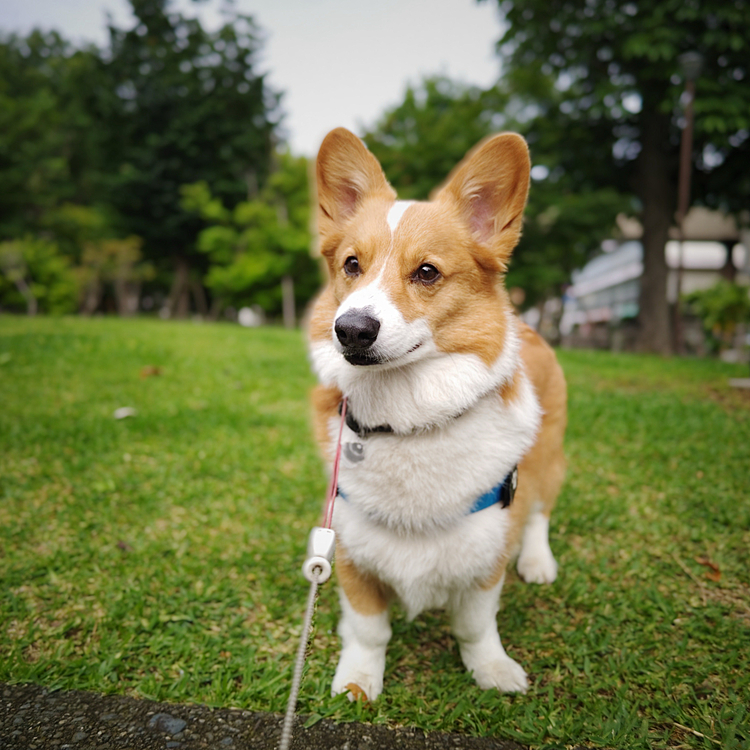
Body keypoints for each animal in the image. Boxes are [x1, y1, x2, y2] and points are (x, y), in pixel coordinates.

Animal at [308, 131, 568, 704]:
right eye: (352, 265)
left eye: (426, 271)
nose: (350, 329)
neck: (408, 419)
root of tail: (528, 325)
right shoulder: (349, 550)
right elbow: (369, 629)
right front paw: (358, 680)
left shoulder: (488, 555)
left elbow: (475, 625)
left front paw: (491, 669)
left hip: (546, 456)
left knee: (540, 510)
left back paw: (538, 561)